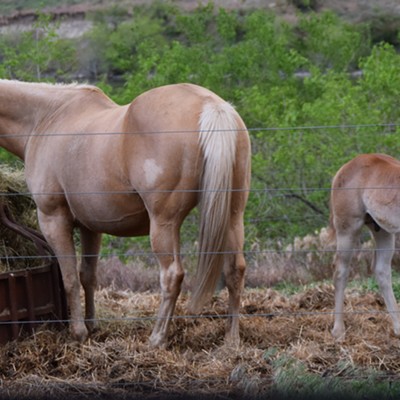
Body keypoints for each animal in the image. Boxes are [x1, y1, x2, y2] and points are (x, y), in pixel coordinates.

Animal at [0, 79, 252, 348]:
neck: (47, 117)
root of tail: (210, 105)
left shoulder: (53, 220)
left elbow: (69, 279)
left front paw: (78, 333)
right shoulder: (91, 227)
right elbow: (87, 275)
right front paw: (91, 325)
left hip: (164, 223)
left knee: (172, 275)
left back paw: (157, 338)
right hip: (233, 217)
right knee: (235, 270)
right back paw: (231, 340)